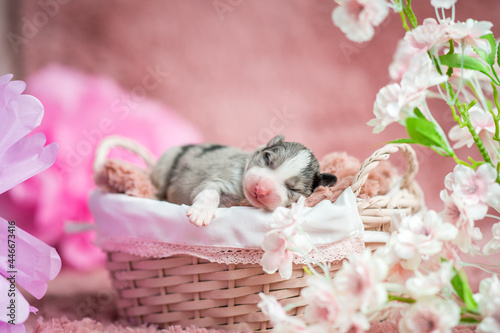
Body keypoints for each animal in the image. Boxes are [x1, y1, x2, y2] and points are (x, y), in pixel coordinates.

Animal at [150, 135, 338, 226]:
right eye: (267, 158)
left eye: (294, 189)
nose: (260, 189)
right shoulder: (224, 177)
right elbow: (210, 190)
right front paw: (201, 212)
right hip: (165, 163)